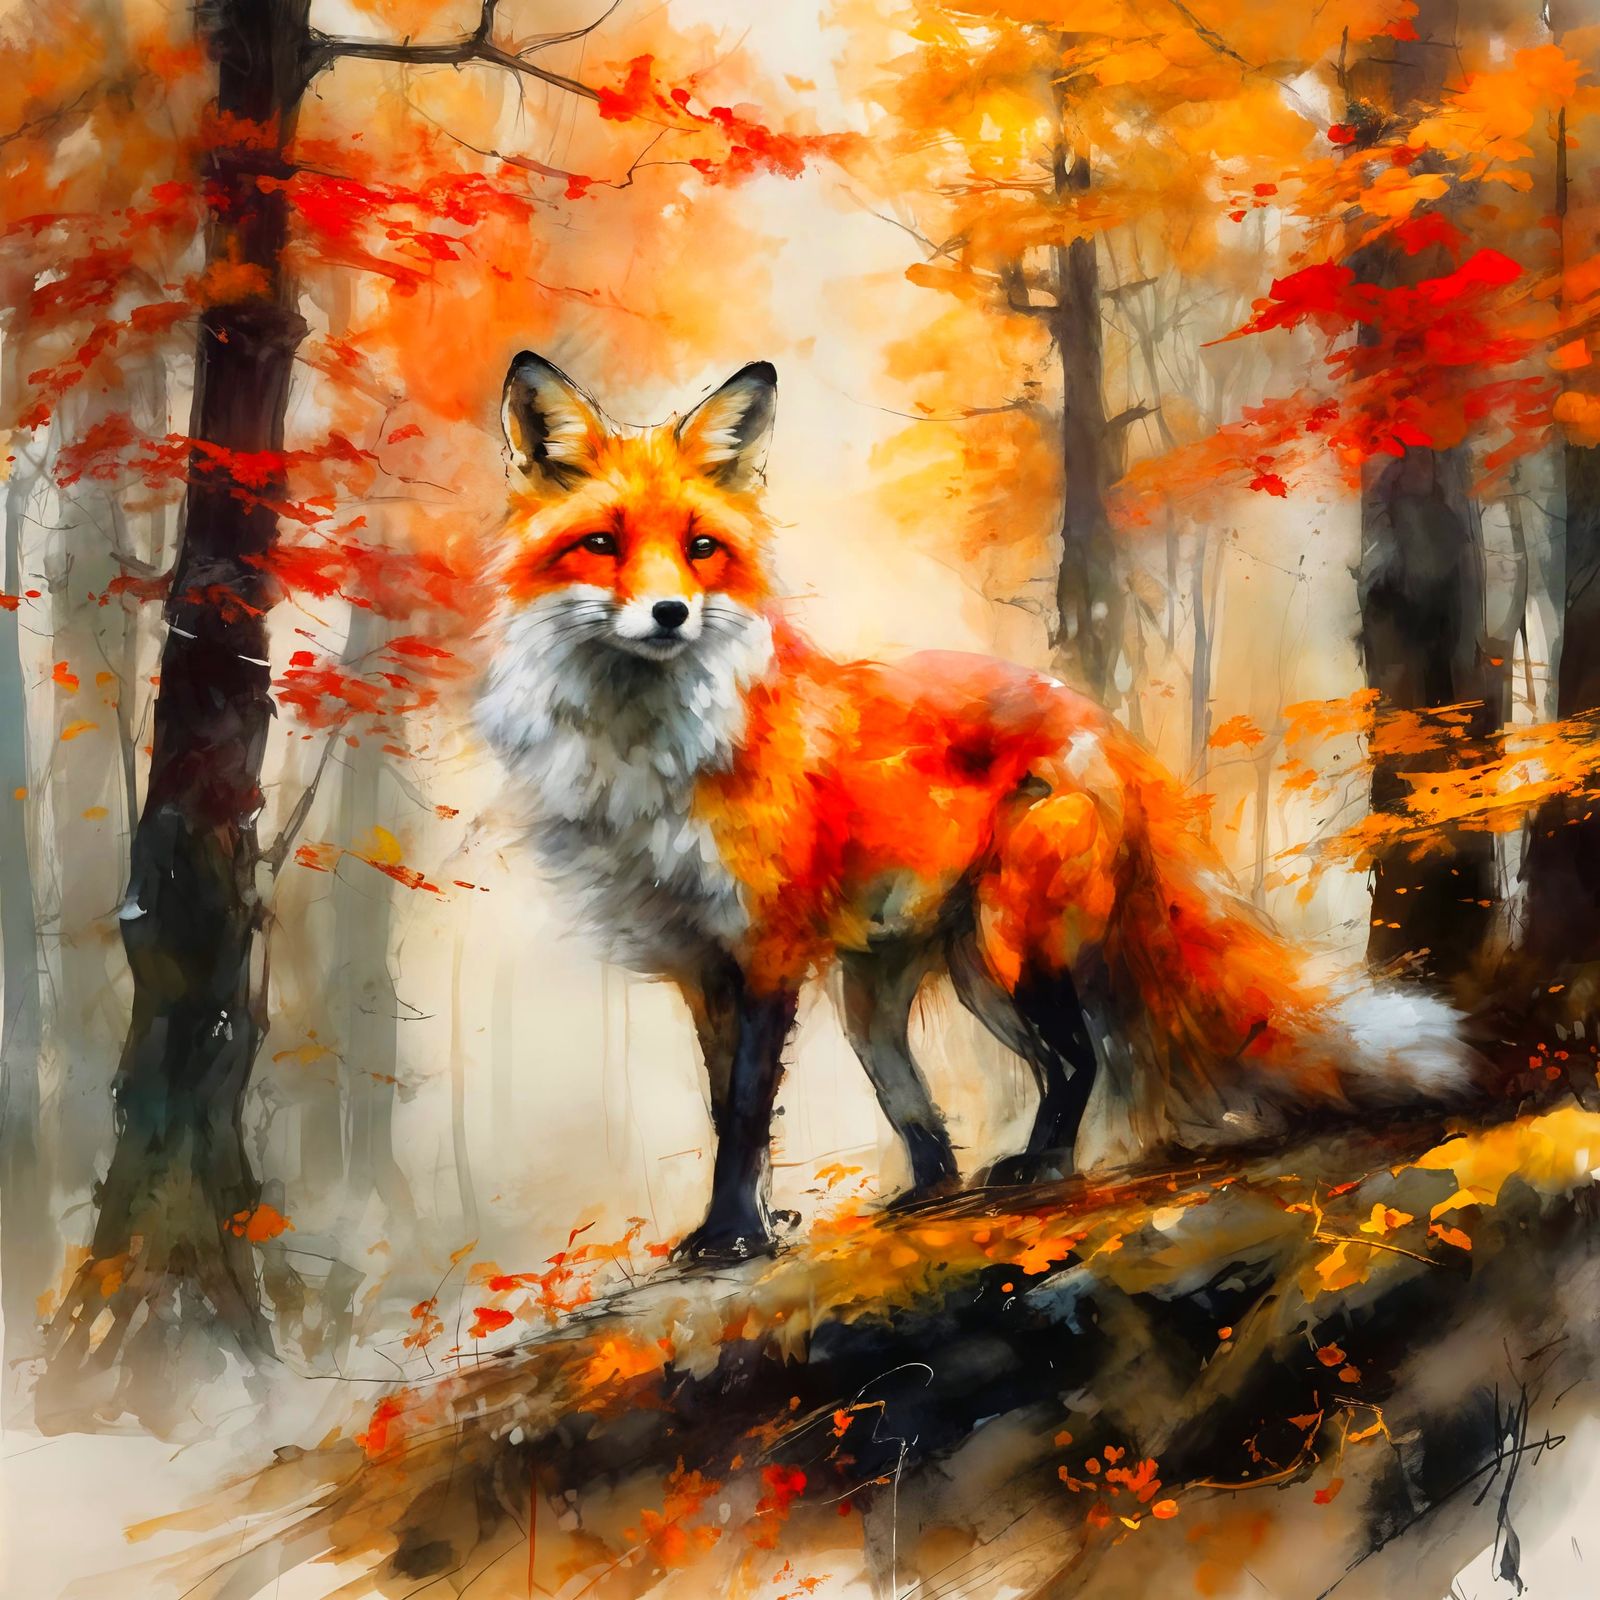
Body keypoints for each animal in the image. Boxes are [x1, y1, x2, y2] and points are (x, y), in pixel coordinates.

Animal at [477, 352, 1478, 1261]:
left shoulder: (765, 951)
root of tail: (1097, 721)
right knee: (942, 1105)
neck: (651, 754)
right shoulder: (701, 963)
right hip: (905, 989)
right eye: (603, 544)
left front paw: (734, 1238)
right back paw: (932, 1191)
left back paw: (1041, 1170)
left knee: (1079, 1058)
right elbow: (729, 1108)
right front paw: (743, 1226)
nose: (671, 614)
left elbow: (749, 1113)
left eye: (700, 548)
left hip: (1009, 950)